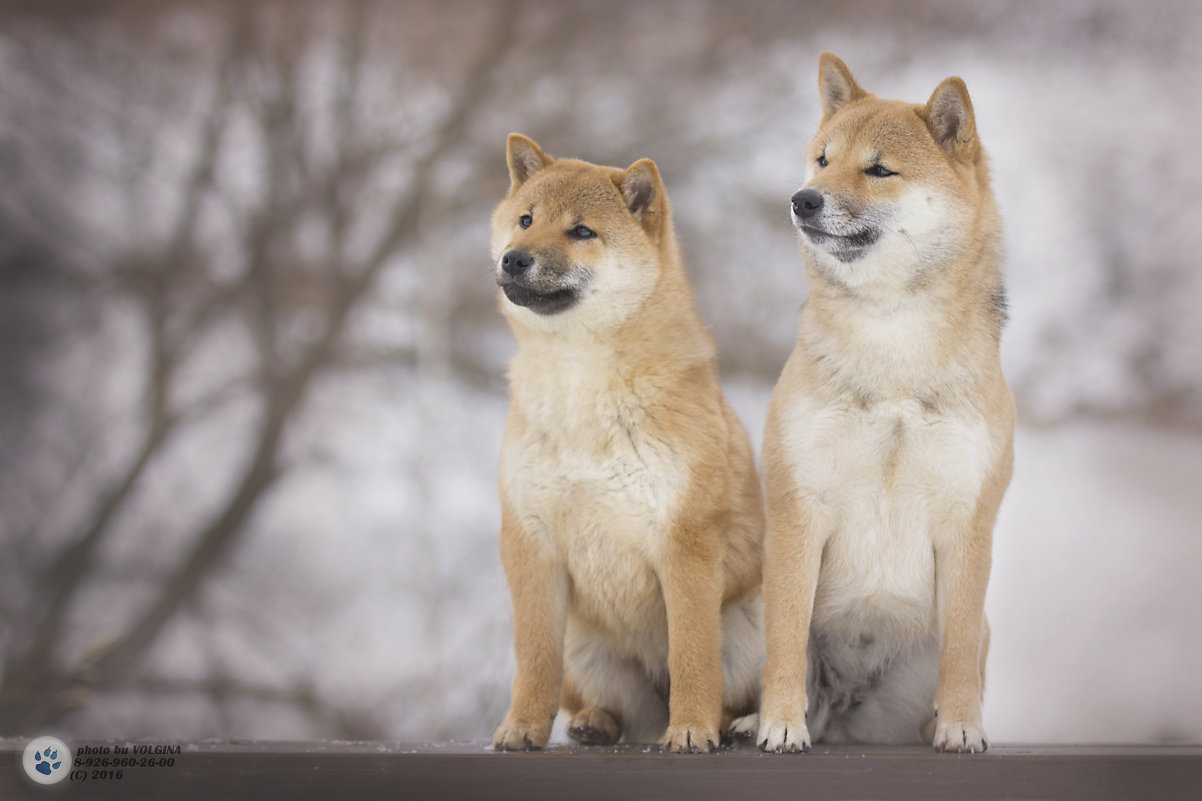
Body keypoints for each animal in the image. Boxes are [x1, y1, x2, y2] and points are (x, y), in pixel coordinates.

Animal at [485, 134, 759, 750]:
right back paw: (593, 723)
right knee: (612, 708)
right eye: (526, 220)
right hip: (584, 645)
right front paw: (521, 727)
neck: (581, 391)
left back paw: (737, 725)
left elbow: (692, 657)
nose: (514, 258)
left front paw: (691, 730)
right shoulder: (530, 543)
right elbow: (532, 661)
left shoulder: (684, 542)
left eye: (582, 231)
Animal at [754, 52, 1009, 750]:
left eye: (879, 169)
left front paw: (961, 727)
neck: (893, 344)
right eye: (822, 160)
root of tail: (845, 705)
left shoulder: (968, 522)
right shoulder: (799, 512)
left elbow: (958, 658)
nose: (802, 200)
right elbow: (785, 642)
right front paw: (779, 725)